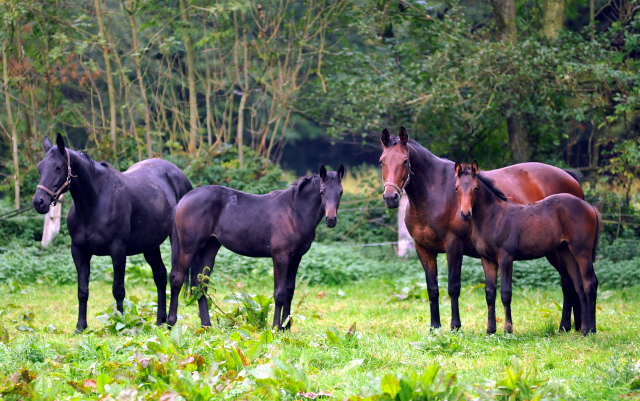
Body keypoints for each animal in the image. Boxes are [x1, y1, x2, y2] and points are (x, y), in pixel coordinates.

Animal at [32, 134, 192, 332]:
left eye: (58, 167)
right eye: (40, 167)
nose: (39, 202)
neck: (94, 204)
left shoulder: (117, 250)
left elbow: (118, 289)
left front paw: (120, 323)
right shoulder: (79, 251)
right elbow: (82, 290)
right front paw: (80, 326)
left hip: (177, 240)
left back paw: (169, 322)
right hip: (150, 245)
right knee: (160, 275)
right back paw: (159, 321)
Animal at [168, 165, 342, 328]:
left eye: (340, 192)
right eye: (322, 191)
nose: (331, 220)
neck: (294, 211)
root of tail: (183, 199)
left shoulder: (296, 258)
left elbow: (289, 291)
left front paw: (286, 327)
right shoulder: (281, 257)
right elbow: (279, 293)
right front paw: (276, 327)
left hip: (209, 248)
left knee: (201, 285)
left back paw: (206, 325)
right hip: (189, 248)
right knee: (177, 278)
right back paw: (170, 323)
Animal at [380, 127, 584, 332]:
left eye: (405, 160)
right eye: (382, 161)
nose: (390, 197)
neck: (434, 193)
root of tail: (569, 178)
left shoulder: (454, 245)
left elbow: (453, 286)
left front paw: (455, 326)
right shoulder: (423, 249)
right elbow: (432, 288)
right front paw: (435, 327)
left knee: (569, 282)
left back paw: (569, 326)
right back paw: (573, 326)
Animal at [456, 162, 600, 334]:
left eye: (476, 188)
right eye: (456, 188)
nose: (465, 214)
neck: (494, 217)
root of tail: (590, 207)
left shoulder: (505, 257)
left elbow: (506, 293)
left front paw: (508, 329)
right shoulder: (487, 259)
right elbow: (490, 293)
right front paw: (490, 330)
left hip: (582, 251)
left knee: (589, 283)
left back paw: (591, 330)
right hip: (566, 252)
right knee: (578, 285)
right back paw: (583, 329)